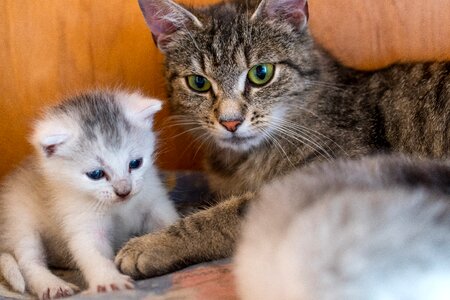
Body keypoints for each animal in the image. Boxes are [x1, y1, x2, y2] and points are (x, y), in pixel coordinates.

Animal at [0, 90, 179, 298]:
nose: (124, 191)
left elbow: (169, 223)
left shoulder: (154, 200)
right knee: (28, 262)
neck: (119, 207)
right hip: (19, 223)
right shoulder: (82, 222)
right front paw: (110, 280)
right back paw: (52, 285)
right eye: (96, 174)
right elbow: (94, 254)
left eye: (135, 163)